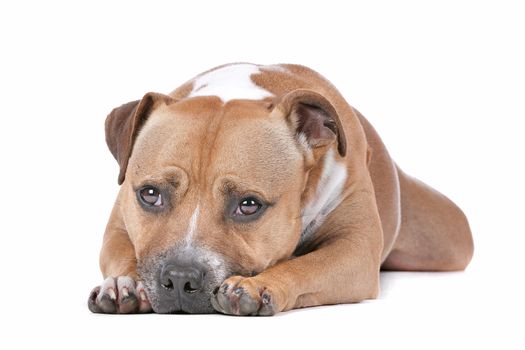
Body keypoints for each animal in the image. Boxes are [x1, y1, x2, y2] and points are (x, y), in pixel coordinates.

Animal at [88, 63, 472, 318]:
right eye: (150, 195)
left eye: (248, 205)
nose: (181, 278)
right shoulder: (119, 223)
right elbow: (123, 252)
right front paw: (122, 284)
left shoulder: (356, 248)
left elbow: (307, 267)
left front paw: (259, 285)